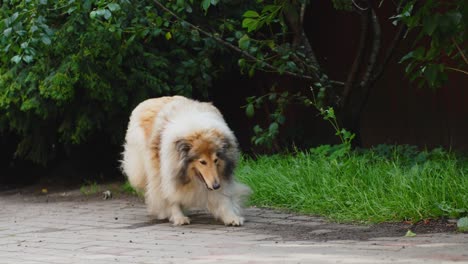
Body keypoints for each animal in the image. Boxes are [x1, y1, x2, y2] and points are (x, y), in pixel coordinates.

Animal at [121, 96, 252, 226]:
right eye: (202, 162)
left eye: (216, 160)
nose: (216, 185)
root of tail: (151, 99)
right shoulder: (165, 172)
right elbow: (170, 197)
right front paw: (178, 217)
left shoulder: (218, 178)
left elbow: (223, 198)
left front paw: (232, 217)